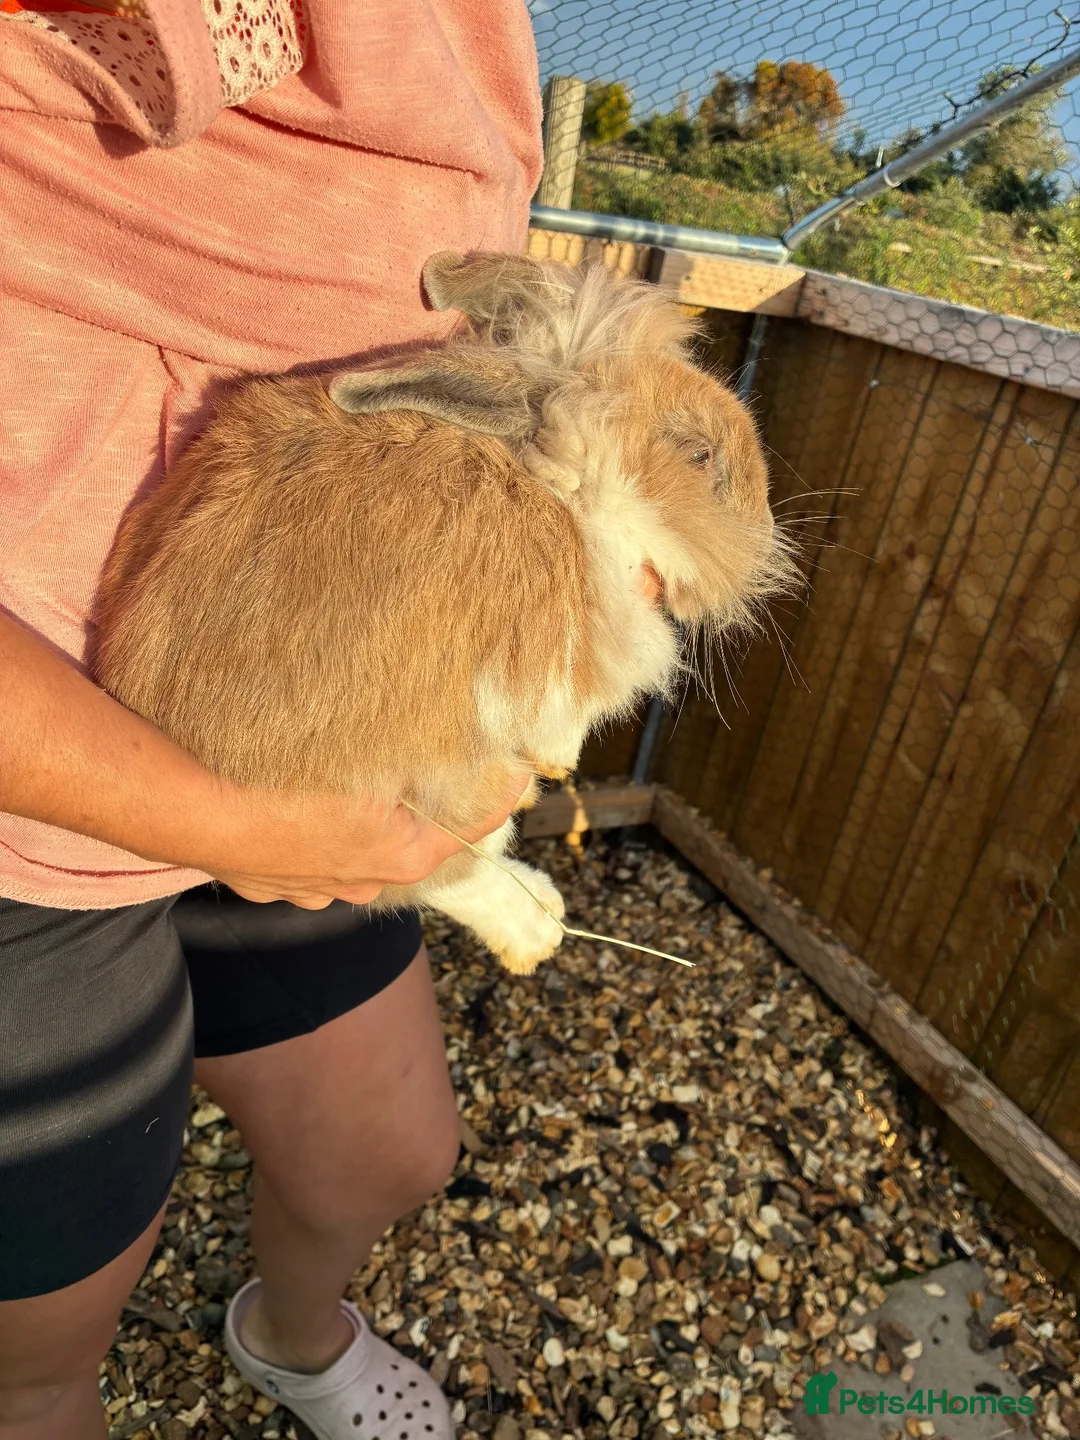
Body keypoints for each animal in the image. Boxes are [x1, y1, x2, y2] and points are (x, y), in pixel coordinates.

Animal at [93, 250, 794, 975]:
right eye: (700, 454)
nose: (765, 529)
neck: (556, 492)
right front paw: (559, 761)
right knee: (449, 874)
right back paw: (536, 928)